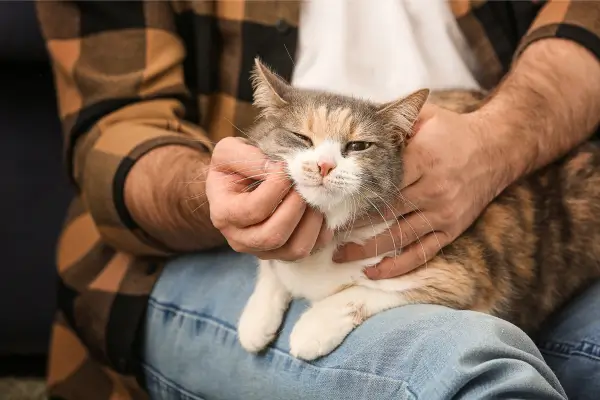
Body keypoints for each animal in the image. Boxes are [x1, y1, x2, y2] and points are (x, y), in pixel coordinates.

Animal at [237, 57, 600, 360]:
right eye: (301, 137)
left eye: (358, 146)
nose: (324, 166)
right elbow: (272, 267)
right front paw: (256, 319)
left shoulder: (463, 279)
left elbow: (361, 292)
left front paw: (313, 327)